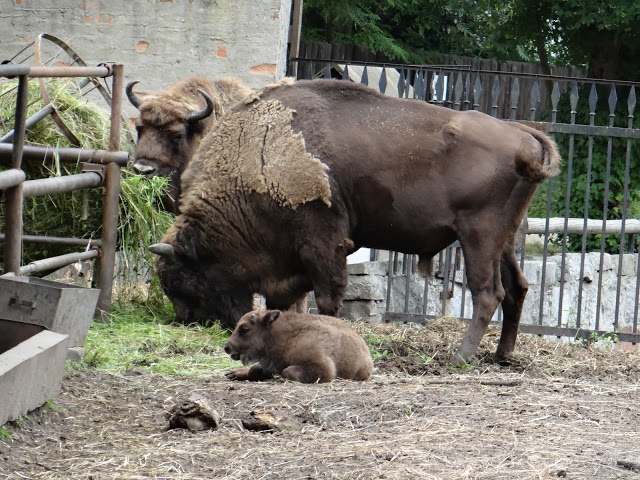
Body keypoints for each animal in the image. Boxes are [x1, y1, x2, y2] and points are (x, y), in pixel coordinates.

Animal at [151, 78, 561, 364]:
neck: (260, 157)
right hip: (505, 239)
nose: (187, 319)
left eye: (180, 278)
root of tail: (524, 133)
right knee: (518, 287)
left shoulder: (323, 240)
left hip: (479, 236)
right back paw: (502, 355)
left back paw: (459, 357)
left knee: (488, 293)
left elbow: (329, 297)